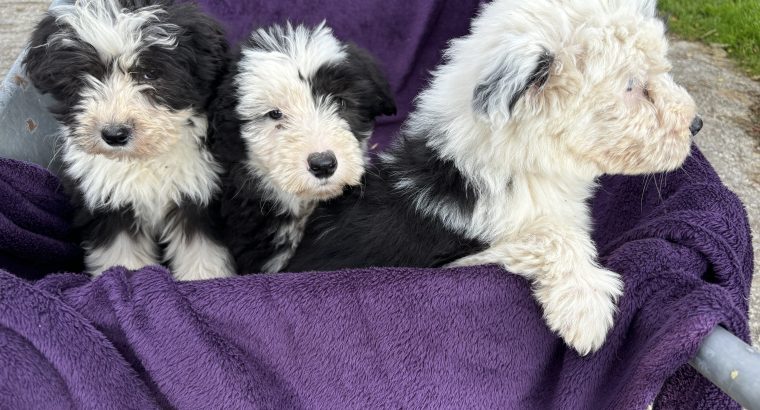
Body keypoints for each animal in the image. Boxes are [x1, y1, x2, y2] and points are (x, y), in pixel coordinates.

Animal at [25, 0, 235, 280]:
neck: (143, 158)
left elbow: (202, 253)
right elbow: (121, 256)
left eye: (151, 74)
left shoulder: (199, 193)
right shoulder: (108, 201)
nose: (114, 134)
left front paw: (204, 282)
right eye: (83, 76)